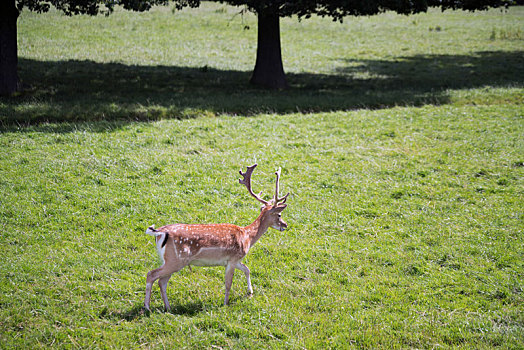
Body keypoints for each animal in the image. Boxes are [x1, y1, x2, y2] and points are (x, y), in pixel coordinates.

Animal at [143, 163, 288, 308]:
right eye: (279, 215)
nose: (285, 225)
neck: (247, 237)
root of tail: (160, 232)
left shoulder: (234, 260)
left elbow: (247, 269)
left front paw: (250, 292)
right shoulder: (233, 258)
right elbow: (228, 284)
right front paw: (225, 304)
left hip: (170, 260)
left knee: (162, 281)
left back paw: (167, 307)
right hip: (176, 259)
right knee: (152, 274)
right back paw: (147, 307)